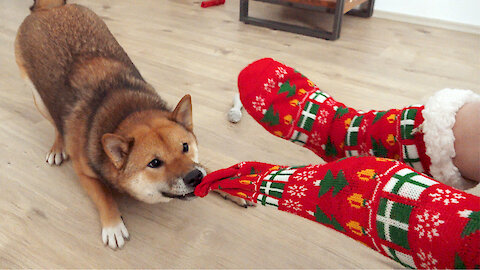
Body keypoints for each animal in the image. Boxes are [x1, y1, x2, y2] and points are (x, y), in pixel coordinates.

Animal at [14, 0, 210, 249]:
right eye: (155, 163)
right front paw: (113, 225)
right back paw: (59, 146)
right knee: (57, 124)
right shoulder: (84, 173)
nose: (195, 177)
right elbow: (104, 196)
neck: (127, 113)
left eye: (185, 147)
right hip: (39, 99)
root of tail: (49, 8)